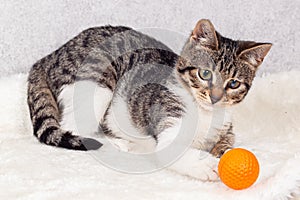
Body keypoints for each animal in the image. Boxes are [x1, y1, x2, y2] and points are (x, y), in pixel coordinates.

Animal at [27, 19, 272, 180]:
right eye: (205, 74)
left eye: (234, 84)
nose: (215, 97)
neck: (206, 113)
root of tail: (49, 57)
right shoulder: (169, 120)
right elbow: (173, 150)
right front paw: (209, 166)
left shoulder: (226, 130)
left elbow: (228, 144)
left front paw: (226, 156)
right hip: (98, 81)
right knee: (76, 126)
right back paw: (120, 144)